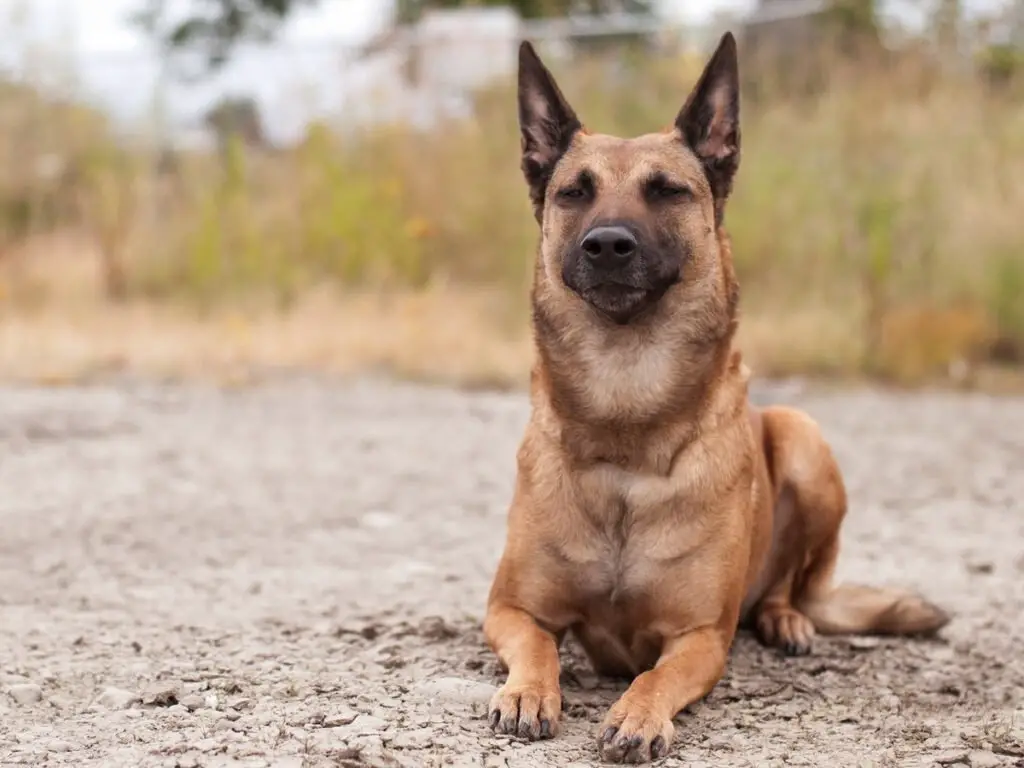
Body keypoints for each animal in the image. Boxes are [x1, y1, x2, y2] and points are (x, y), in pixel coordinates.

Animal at [481, 28, 950, 765]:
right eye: (575, 192)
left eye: (666, 190)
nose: (607, 244)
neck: (627, 425)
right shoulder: (508, 609)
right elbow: (537, 647)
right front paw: (528, 691)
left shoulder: (700, 638)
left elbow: (656, 675)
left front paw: (637, 715)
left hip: (803, 437)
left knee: (791, 585)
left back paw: (786, 620)